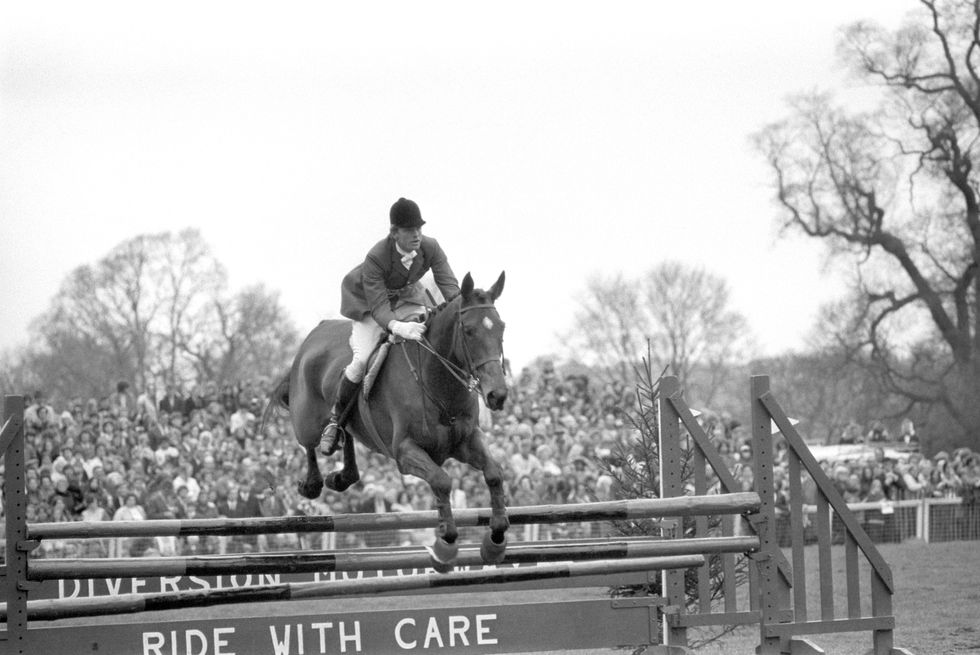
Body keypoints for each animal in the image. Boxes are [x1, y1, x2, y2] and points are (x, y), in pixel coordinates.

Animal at [268, 272, 512, 568]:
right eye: (469, 330)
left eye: (501, 328)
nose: (497, 395)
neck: (436, 379)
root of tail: (315, 333)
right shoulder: (405, 452)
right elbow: (442, 481)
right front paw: (446, 542)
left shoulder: (467, 441)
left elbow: (494, 474)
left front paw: (496, 539)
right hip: (307, 417)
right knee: (310, 443)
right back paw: (312, 483)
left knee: (346, 431)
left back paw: (342, 477)